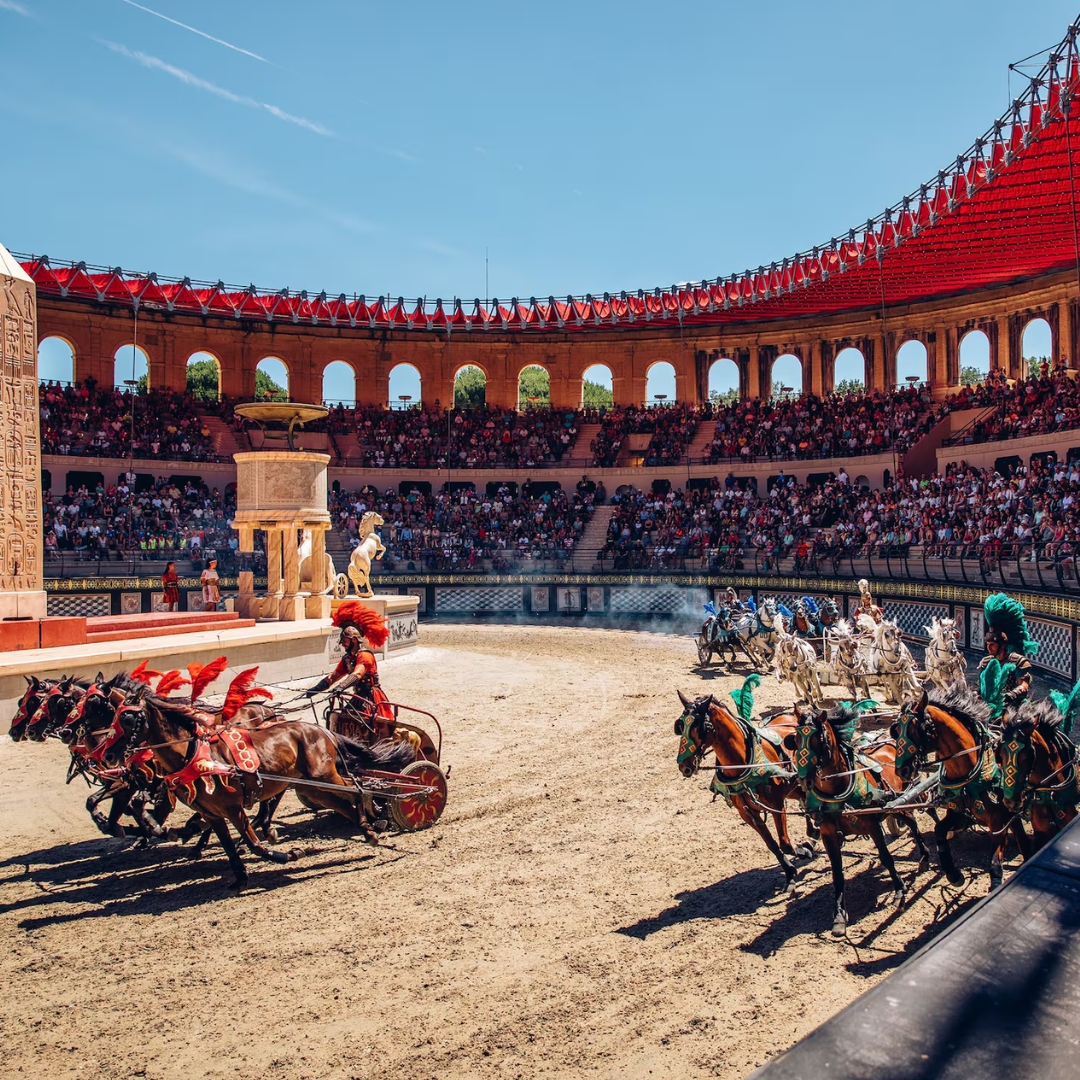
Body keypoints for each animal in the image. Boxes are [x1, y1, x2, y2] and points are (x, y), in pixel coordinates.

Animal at [102, 686, 412, 889]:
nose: (107, 755)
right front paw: (239, 877)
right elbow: (228, 846)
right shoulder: (214, 814)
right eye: (114, 717)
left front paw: (289, 854)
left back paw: (371, 820)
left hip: (324, 775)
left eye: (128, 719)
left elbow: (252, 844)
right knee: (344, 798)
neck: (195, 755)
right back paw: (366, 828)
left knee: (357, 788)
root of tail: (321, 729)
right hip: (311, 786)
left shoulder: (232, 807)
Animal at [669, 691, 812, 894]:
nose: (684, 766)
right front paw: (790, 873)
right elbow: (773, 845)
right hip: (794, 788)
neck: (744, 763)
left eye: (700, 728)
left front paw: (805, 850)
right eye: (680, 725)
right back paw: (814, 830)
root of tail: (793, 716)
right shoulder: (747, 813)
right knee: (805, 800)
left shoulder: (776, 804)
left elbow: (784, 843)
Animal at [786, 699, 928, 937]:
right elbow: (837, 874)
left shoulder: (872, 824)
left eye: (819, 739)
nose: (804, 780)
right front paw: (839, 916)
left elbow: (886, 857)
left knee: (914, 823)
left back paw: (925, 856)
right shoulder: (828, 834)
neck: (838, 790)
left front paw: (900, 892)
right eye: (795, 740)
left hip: (902, 801)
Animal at [889, 686, 1032, 889]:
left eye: (917, 729)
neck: (967, 776)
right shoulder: (958, 815)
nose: (902, 770)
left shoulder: (998, 824)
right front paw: (953, 874)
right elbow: (939, 830)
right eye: (896, 730)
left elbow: (995, 865)